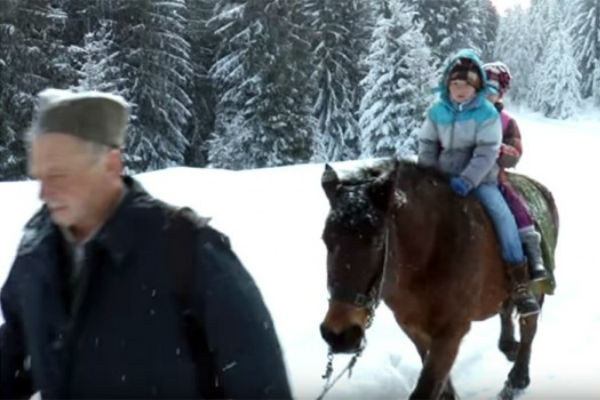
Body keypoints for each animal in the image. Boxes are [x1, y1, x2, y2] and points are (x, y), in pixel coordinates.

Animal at [318, 159, 556, 400]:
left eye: (376, 241)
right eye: (326, 240)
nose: (339, 335)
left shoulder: (452, 330)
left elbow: (427, 386)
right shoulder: (412, 326)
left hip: (536, 288)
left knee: (529, 326)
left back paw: (516, 380)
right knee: (506, 311)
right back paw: (508, 346)